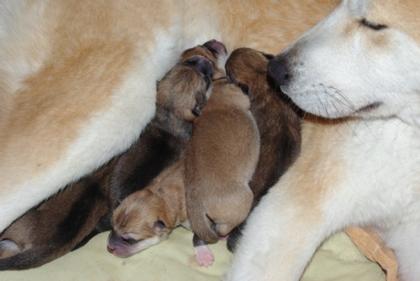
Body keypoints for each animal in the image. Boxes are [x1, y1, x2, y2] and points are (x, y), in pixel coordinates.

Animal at [185, 77, 260, 242]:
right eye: (238, 83)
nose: (246, 86)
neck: (216, 100)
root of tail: (196, 202)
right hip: (245, 198)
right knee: (223, 229)